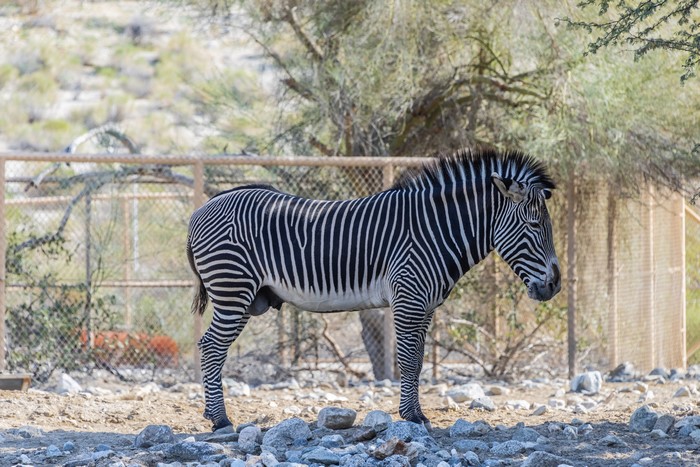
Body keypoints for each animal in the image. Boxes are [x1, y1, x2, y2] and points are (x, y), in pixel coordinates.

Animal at [186, 148, 561, 431]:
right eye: (533, 225)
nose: (555, 285)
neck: (435, 231)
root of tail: (202, 209)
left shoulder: (424, 306)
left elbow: (418, 361)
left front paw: (416, 413)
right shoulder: (409, 299)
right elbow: (407, 360)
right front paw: (412, 418)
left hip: (242, 296)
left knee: (210, 347)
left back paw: (212, 413)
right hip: (233, 291)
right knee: (211, 348)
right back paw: (220, 420)